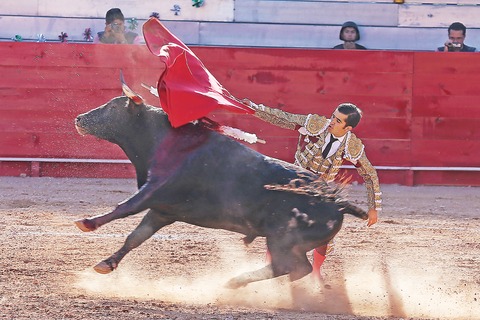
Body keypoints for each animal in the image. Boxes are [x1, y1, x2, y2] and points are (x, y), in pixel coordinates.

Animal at [74, 94, 368, 288]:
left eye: (113, 107)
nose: (79, 118)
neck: (162, 139)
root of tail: (336, 201)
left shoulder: (155, 189)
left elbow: (125, 207)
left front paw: (87, 222)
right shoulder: (162, 211)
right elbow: (135, 237)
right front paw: (106, 264)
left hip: (283, 240)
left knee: (290, 266)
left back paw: (235, 282)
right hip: (290, 243)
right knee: (294, 268)